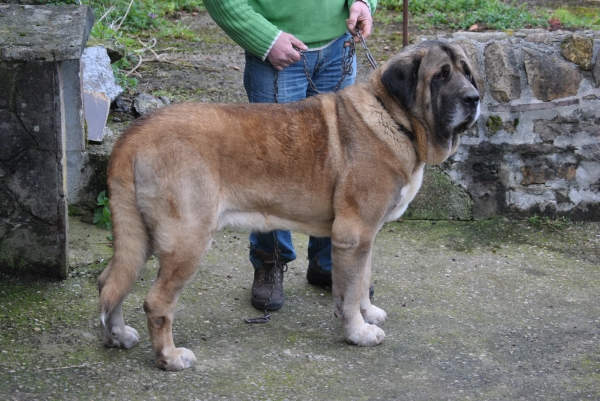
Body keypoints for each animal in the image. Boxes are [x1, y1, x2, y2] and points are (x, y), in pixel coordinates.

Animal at [99, 39, 482, 368]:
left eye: (467, 72)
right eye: (440, 75)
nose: (474, 98)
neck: (393, 117)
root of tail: (135, 131)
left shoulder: (366, 236)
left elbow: (362, 280)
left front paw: (368, 313)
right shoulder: (354, 233)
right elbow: (350, 291)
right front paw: (358, 332)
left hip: (140, 237)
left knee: (110, 283)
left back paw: (118, 336)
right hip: (187, 241)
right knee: (156, 302)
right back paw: (169, 357)